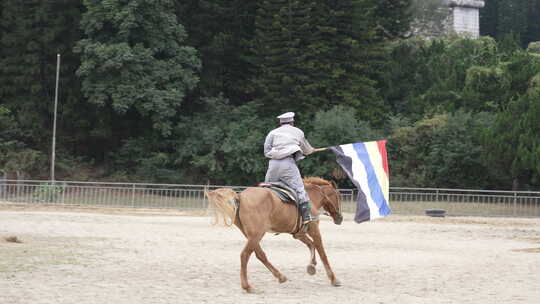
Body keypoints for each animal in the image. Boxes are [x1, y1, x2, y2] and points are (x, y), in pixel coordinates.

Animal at [205, 177, 344, 294]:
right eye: (338, 196)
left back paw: (280, 276)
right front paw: (333, 279)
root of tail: (240, 196)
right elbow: (322, 252)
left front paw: (312, 266)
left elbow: (311, 245)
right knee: (245, 255)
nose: (340, 218)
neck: (310, 197)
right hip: (256, 235)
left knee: (260, 255)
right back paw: (248, 286)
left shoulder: (299, 234)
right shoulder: (314, 230)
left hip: (252, 235)